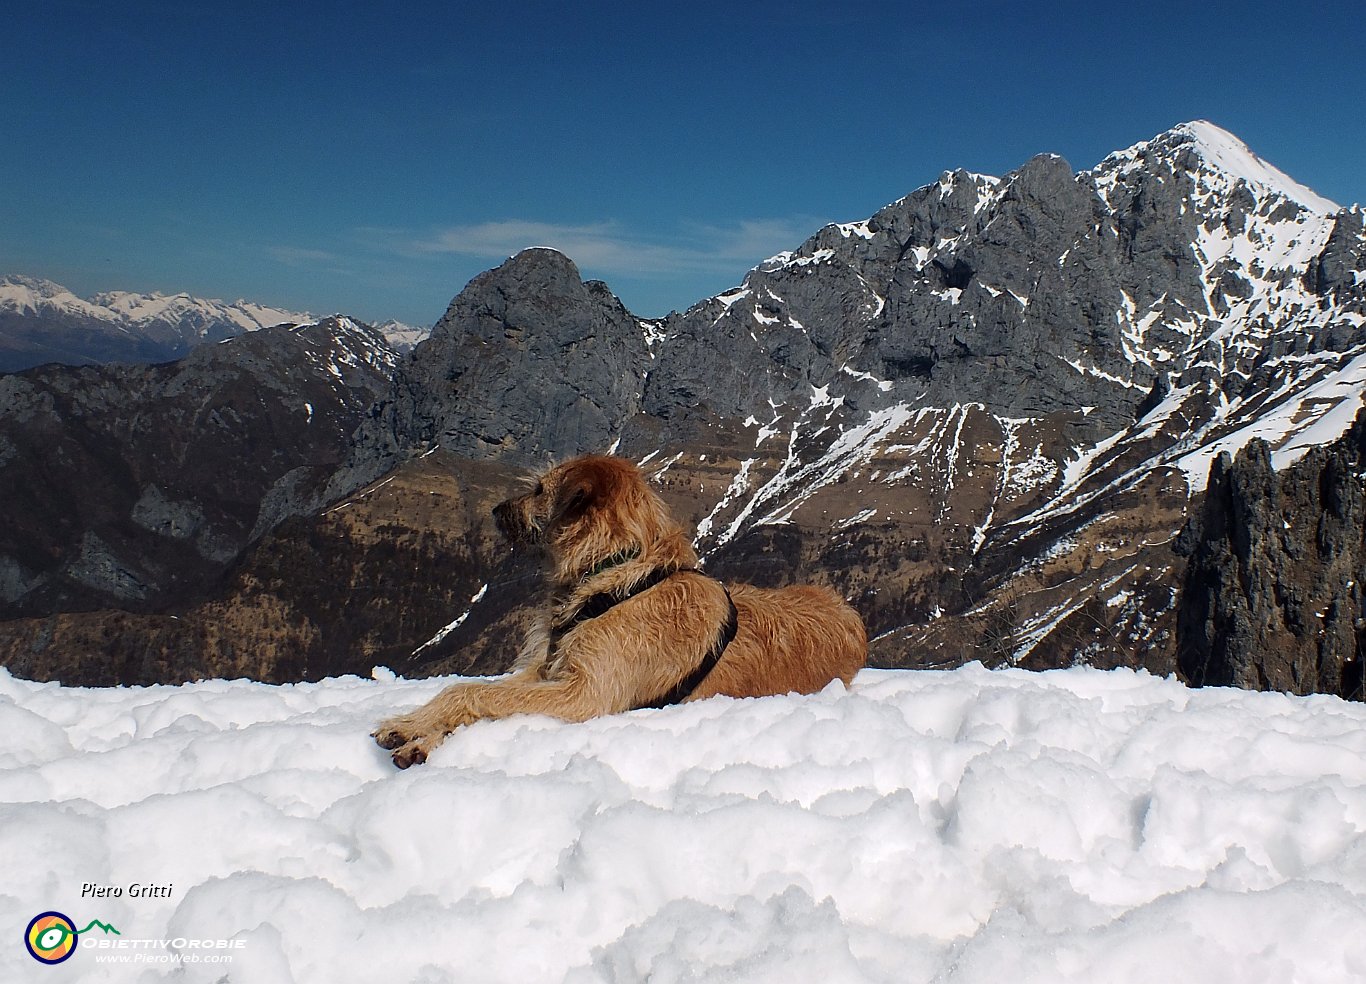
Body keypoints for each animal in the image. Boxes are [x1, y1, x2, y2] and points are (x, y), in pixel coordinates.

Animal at [374, 453, 863, 770]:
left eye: (539, 490)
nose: (496, 510)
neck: (614, 574)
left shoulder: (584, 695)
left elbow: (476, 694)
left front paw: (424, 732)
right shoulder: (547, 669)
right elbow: (467, 691)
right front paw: (411, 725)